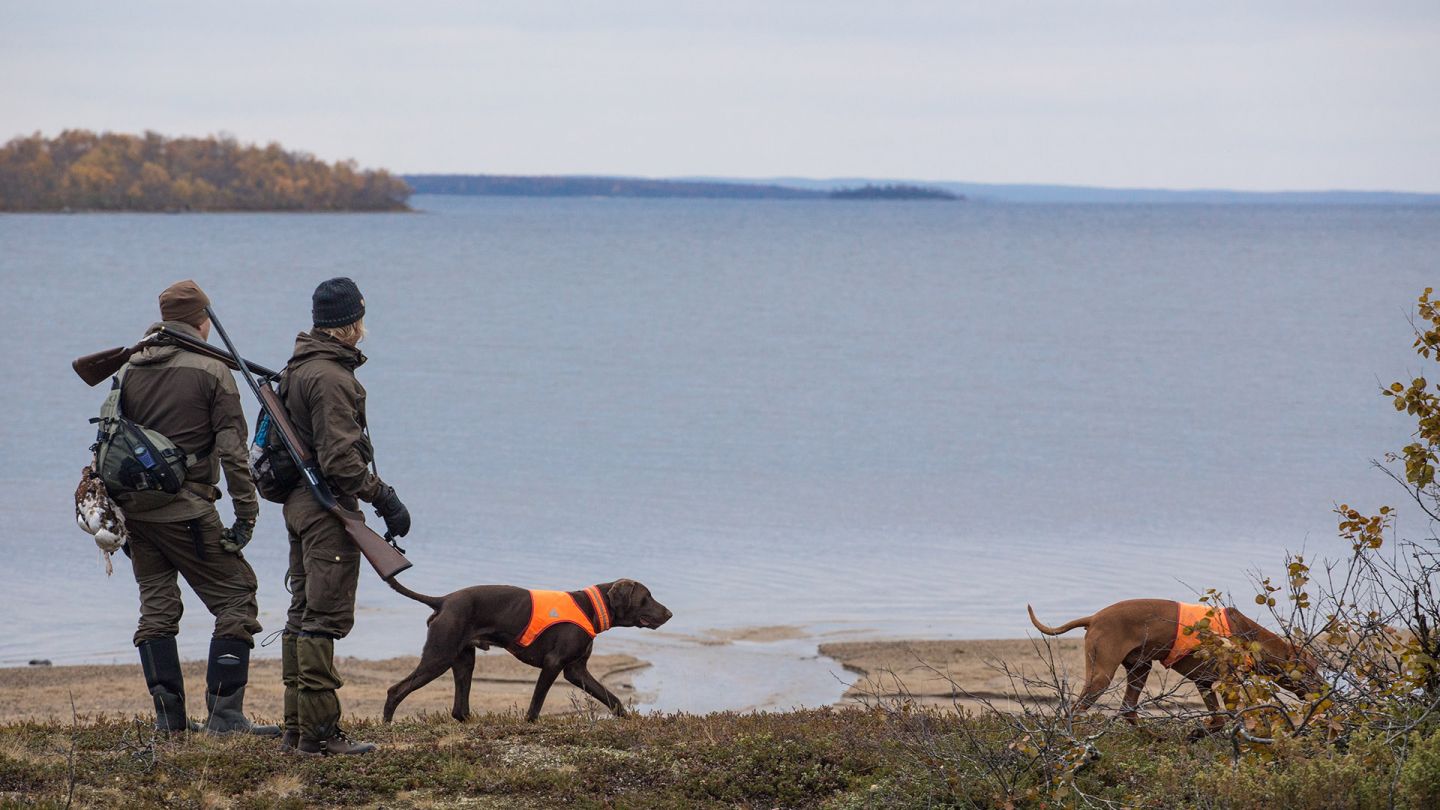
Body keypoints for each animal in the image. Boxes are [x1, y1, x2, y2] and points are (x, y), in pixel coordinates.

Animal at [385, 573, 671, 717]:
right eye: (647, 597)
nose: (669, 613)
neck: (590, 607)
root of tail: (443, 600)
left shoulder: (577, 671)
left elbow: (613, 698)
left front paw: (630, 721)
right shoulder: (554, 665)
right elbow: (535, 706)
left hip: (464, 661)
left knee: (459, 710)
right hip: (438, 657)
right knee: (395, 691)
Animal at [1031, 596, 1319, 729]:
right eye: (1312, 669)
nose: (1324, 689)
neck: (1249, 634)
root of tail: (1093, 618)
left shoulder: (1204, 683)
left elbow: (1217, 721)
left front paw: (1198, 734)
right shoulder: (1228, 683)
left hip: (1141, 668)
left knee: (1128, 710)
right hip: (1101, 676)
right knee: (1074, 711)